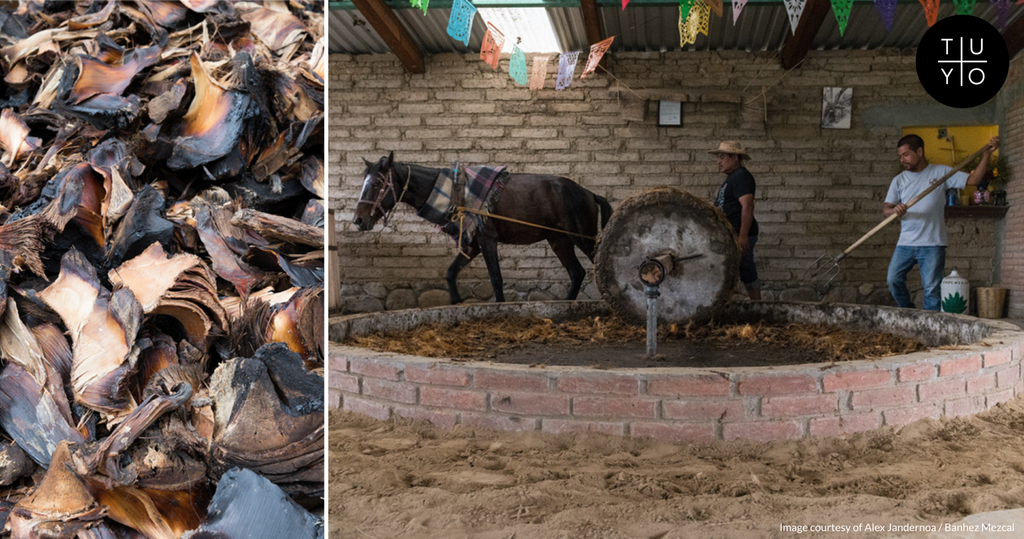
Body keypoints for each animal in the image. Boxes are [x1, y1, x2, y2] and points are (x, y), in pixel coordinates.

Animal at [352, 153, 610, 303]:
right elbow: (451, 273)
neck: (456, 192)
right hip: (560, 241)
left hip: (583, 238)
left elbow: (495, 278)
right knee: (576, 273)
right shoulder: (472, 244)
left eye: (377, 184)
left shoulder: (487, 240)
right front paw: (456, 303)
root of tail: (589, 193)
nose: (358, 220)